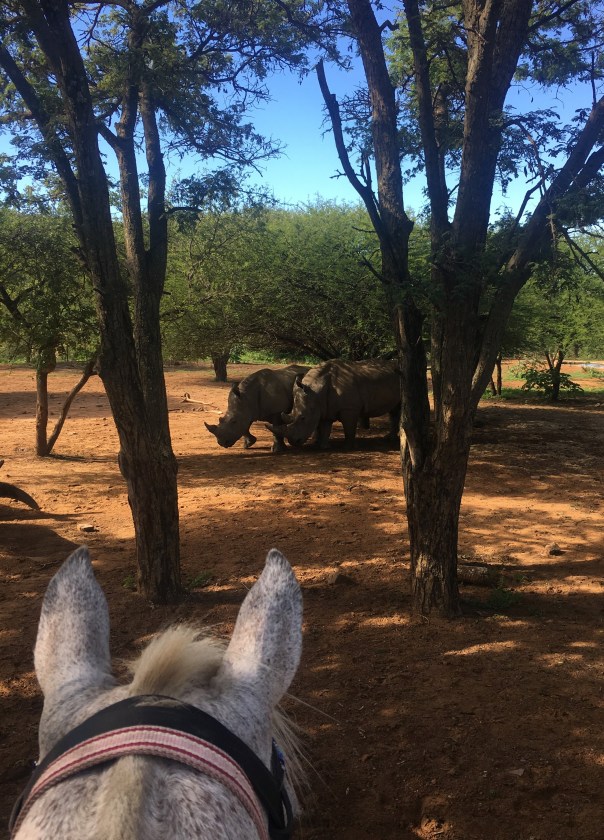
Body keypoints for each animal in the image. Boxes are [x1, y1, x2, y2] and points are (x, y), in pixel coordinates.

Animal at [269, 358, 400, 449]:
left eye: (303, 418)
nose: (293, 442)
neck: (316, 389)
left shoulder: (349, 408)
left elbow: (349, 427)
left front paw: (348, 447)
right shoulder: (325, 406)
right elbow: (326, 427)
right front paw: (324, 447)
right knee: (394, 411)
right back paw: (389, 439)